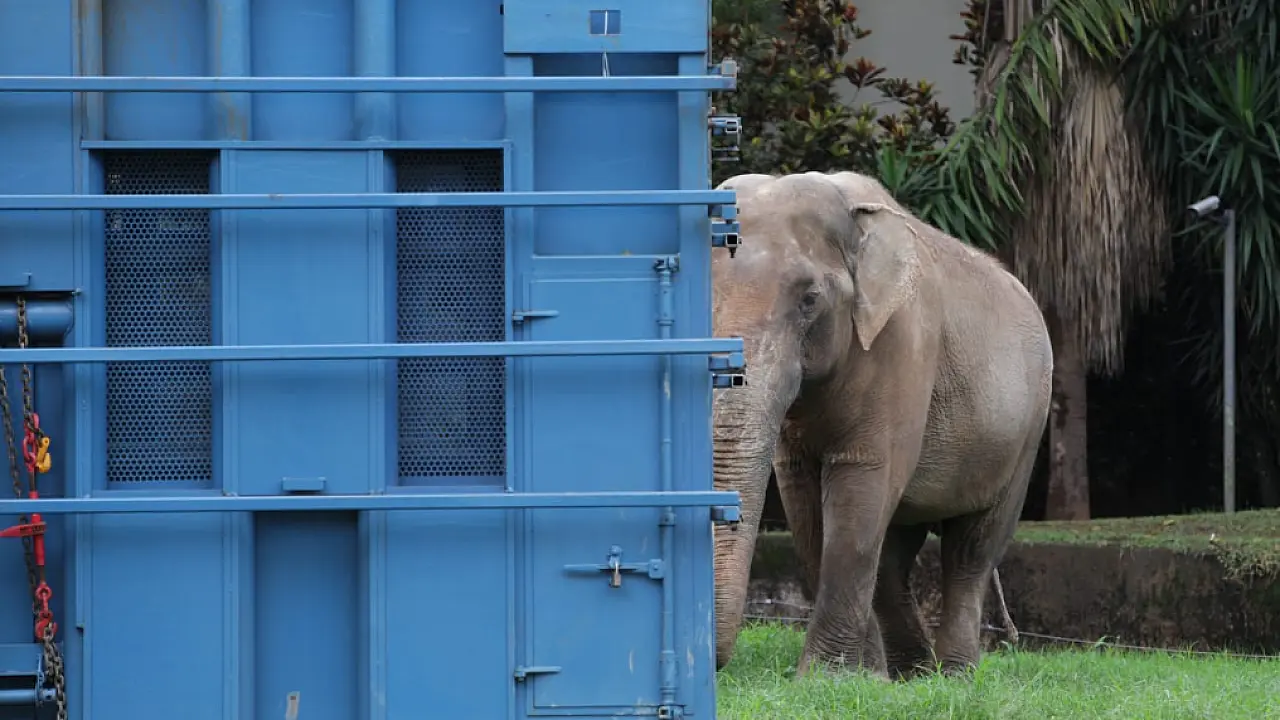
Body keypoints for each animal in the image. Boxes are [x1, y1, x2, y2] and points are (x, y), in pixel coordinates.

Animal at [710, 170, 1052, 681]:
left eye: (810, 300)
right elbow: (803, 498)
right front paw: (860, 676)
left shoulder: (903, 343)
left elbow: (863, 478)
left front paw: (828, 676)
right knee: (894, 552)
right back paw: (910, 672)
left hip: (1027, 430)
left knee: (972, 547)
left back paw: (954, 674)